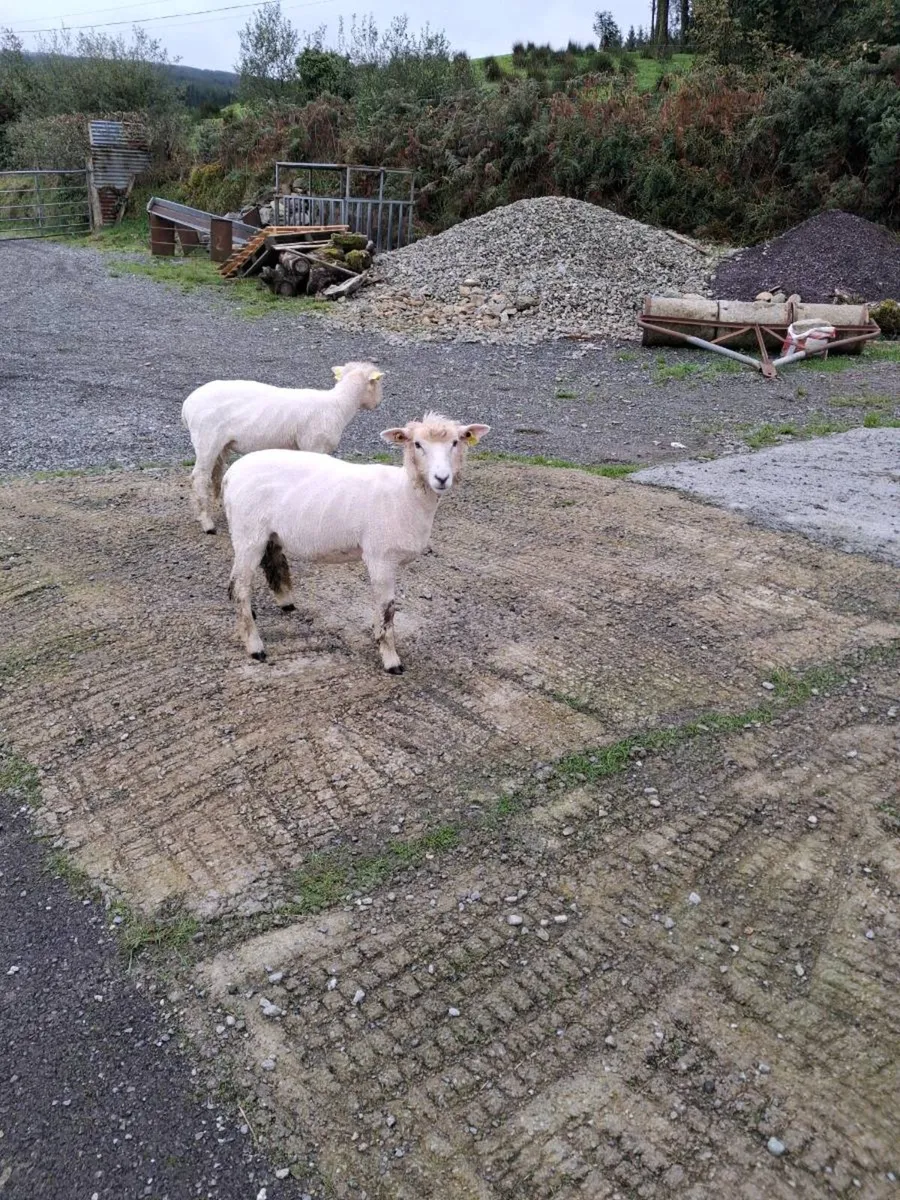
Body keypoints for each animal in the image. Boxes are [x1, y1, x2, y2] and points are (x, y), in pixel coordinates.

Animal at [181, 361, 384, 534]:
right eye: (377, 383)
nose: (378, 403)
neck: (339, 405)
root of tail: (187, 405)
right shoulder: (314, 444)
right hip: (206, 438)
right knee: (199, 477)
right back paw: (207, 523)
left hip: (219, 443)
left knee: (215, 473)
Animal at [222, 412, 490, 672]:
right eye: (417, 444)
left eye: (455, 442)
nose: (441, 478)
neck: (405, 495)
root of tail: (230, 474)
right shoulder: (381, 556)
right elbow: (387, 608)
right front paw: (391, 659)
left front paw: (378, 638)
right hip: (248, 534)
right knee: (239, 587)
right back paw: (255, 646)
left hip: (266, 533)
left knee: (268, 565)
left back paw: (281, 604)